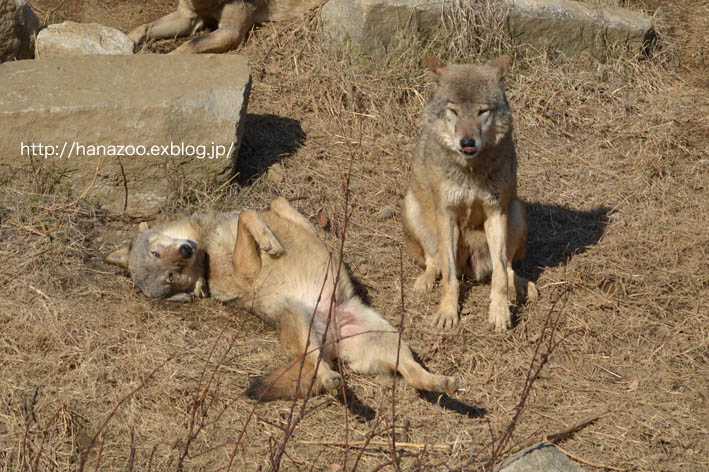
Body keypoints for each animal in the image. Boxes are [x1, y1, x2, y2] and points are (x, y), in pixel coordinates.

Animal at [106, 197, 460, 400]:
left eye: (158, 256)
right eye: (170, 278)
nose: (186, 251)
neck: (206, 249)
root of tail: (333, 335)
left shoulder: (295, 220)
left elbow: (272, 204)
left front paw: (272, 233)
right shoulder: (245, 268)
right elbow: (249, 214)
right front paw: (269, 241)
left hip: (390, 339)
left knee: (413, 375)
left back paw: (443, 384)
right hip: (302, 330)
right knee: (318, 368)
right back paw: (331, 379)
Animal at [404, 55, 536, 332]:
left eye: (482, 111)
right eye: (453, 111)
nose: (467, 143)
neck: (471, 171)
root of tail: (472, 268)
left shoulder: (496, 212)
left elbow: (500, 274)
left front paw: (500, 313)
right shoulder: (446, 214)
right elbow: (449, 275)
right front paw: (447, 313)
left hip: (516, 210)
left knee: (508, 267)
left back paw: (522, 286)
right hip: (411, 206)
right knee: (435, 262)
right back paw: (424, 282)